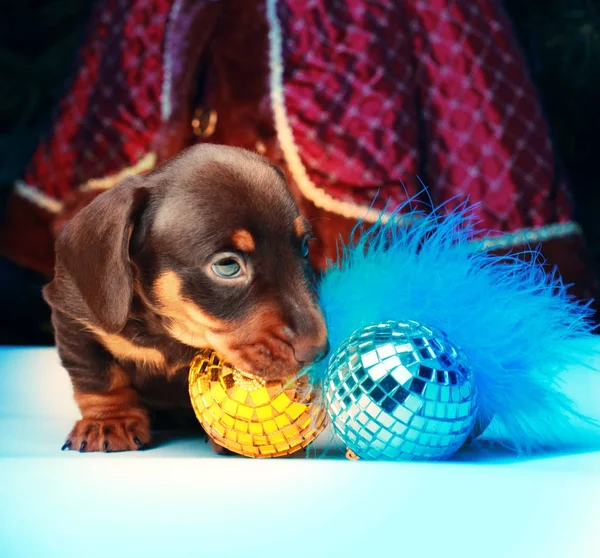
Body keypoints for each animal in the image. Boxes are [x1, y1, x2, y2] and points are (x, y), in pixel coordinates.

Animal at [43, 145, 328, 456]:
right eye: (227, 266)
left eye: (303, 248)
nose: (318, 351)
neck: (167, 330)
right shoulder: (73, 319)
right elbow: (99, 379)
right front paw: (109, 421)